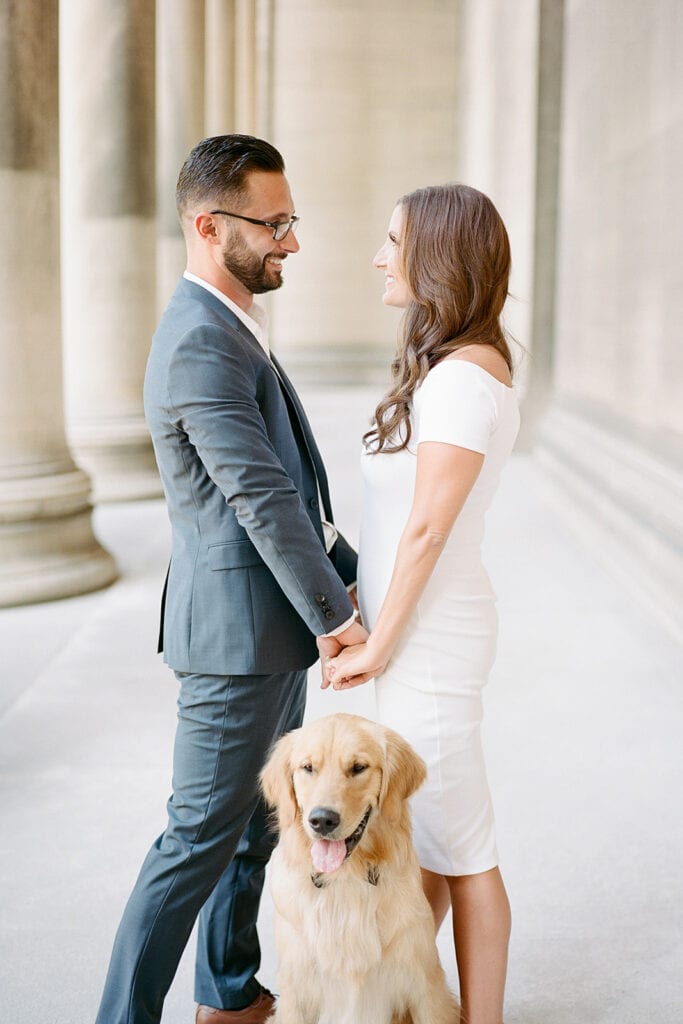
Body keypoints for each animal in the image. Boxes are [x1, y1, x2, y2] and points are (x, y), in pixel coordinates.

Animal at [260, 712, 458, 1024]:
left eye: (358, 768)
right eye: (308, 768)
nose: (322, 820)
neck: (345, 879)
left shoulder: (426, 987)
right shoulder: (295, 993)